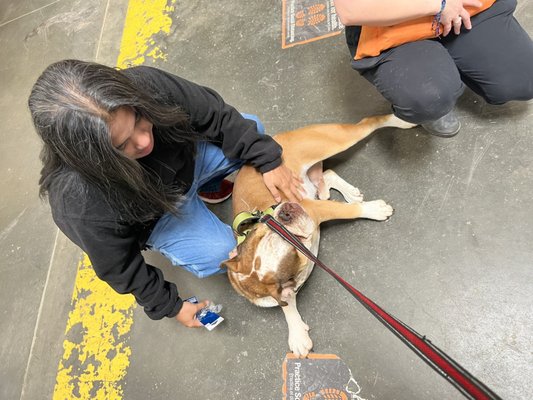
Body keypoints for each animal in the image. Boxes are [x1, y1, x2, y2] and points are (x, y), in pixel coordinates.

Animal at [220, 115, 416, 356]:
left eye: (271, 229)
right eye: (294, 246)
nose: (285, 210)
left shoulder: (313, 209)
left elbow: (348, 211)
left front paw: (374, 210)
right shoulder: (282, 291)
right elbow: (287, 304)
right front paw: (296, 332)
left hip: (333, 141)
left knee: (370, 122)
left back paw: (401, 121)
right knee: (326, 176)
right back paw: (347, 192)